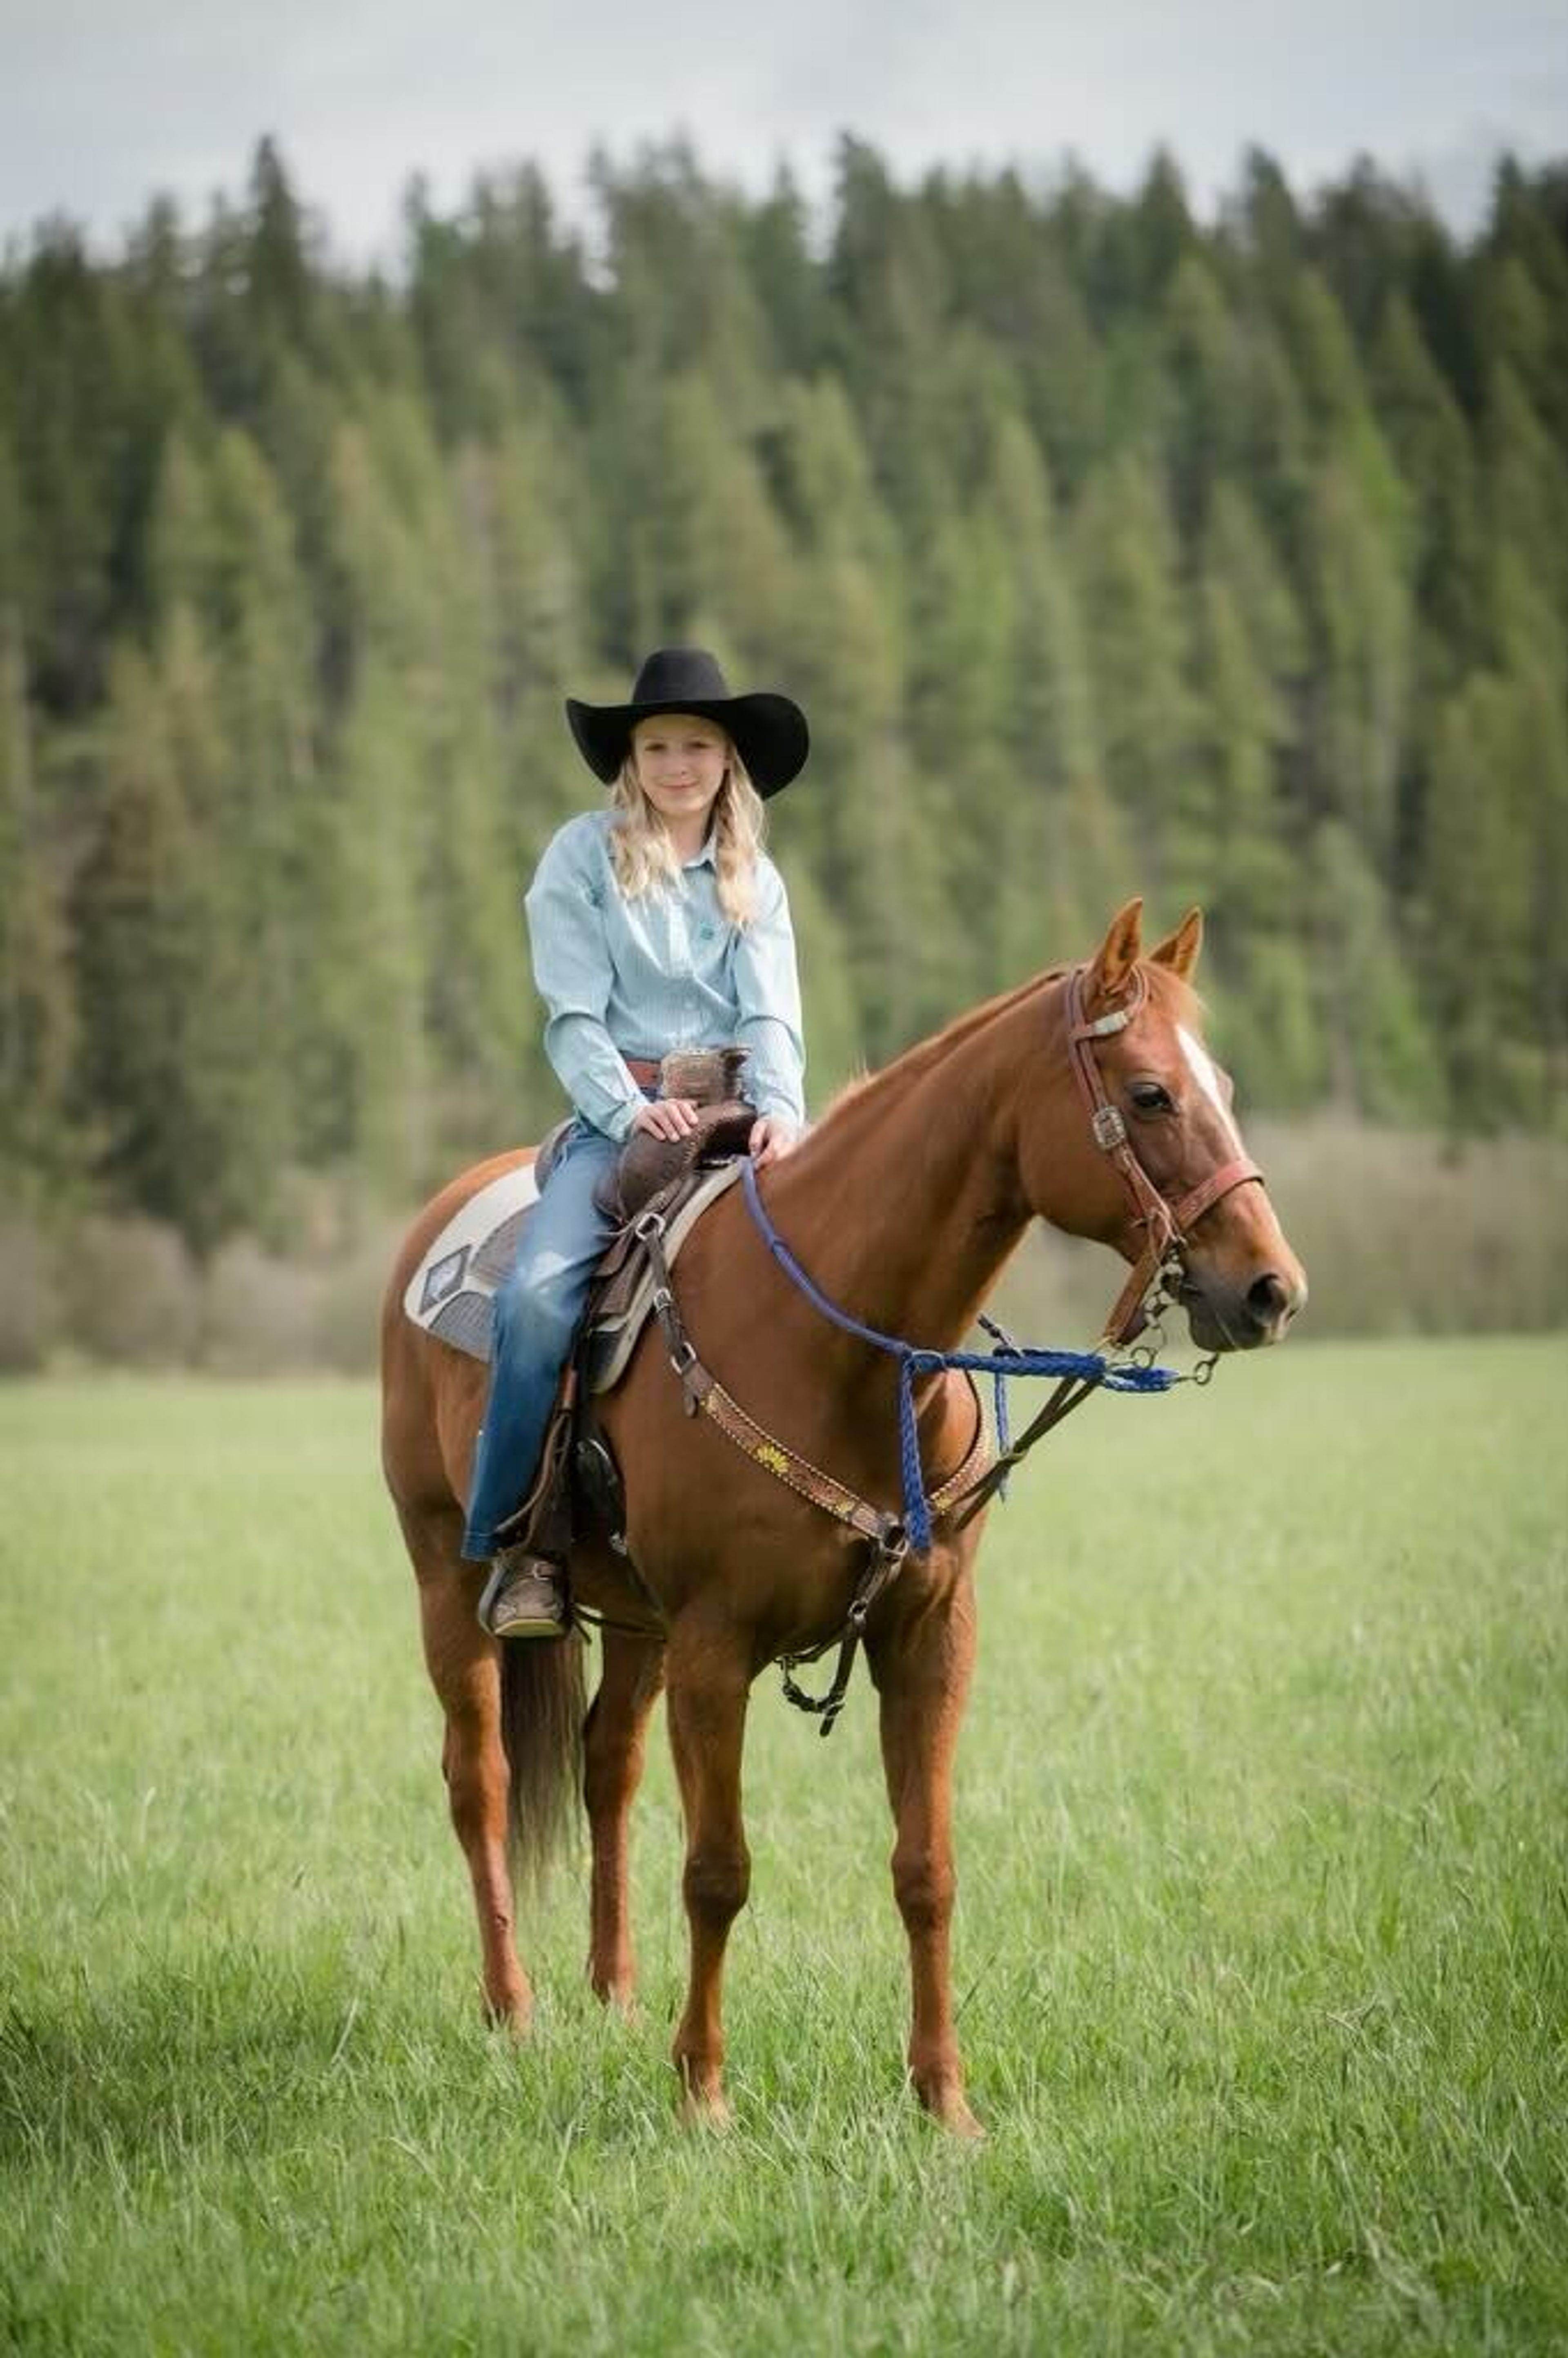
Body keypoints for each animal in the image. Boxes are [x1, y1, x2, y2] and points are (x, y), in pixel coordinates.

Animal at [384, 900, 1301, 2141]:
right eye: (1152, 1091)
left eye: (1224, 1083)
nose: (1269, 1286)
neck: (844, 1340)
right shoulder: (717, 1644)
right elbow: (718, 1869)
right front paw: (703, 2093)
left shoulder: (928, 1633)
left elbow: (927, 1867)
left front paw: (944, 2100)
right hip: (450, 1575)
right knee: (478, 1777)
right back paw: (513, 2005)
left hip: (636, 1623)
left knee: (605, 1763)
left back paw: (613, 1991)